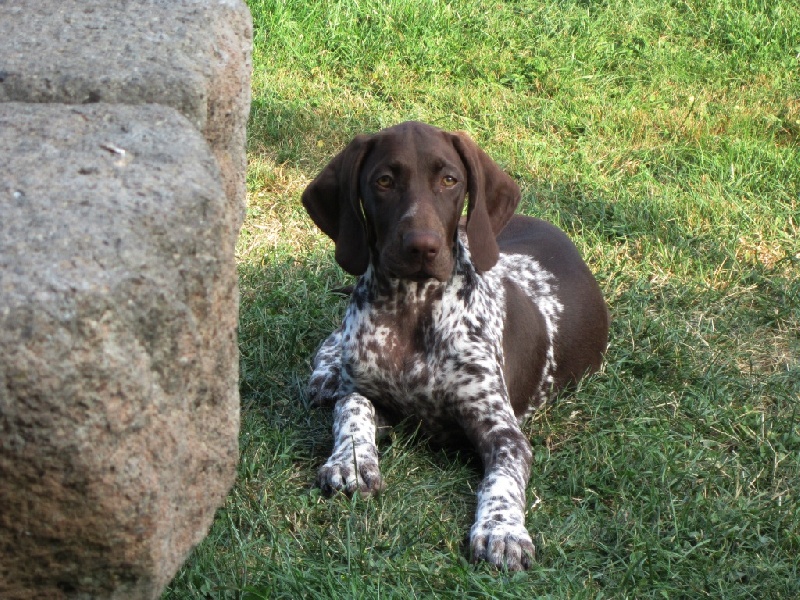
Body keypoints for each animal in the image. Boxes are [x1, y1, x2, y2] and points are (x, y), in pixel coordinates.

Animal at [300, 119, 608, 568]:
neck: (413, 307)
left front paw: (502, 530)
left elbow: (502, 480)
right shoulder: (365, 390)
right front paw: (351, 462)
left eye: (449, 180)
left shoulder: (503, 431)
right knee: (333, 340)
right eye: (384, 181)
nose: (422, 246)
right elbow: (351, 410)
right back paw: (324, 374)